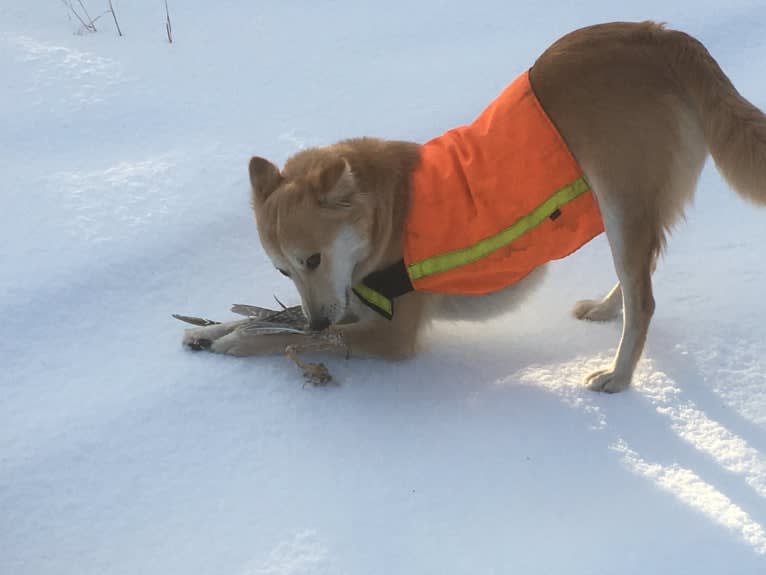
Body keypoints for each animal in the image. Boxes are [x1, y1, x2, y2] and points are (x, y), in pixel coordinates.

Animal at [186, 21, 766, 392]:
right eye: (282, 270)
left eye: (312, 259)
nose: (312, 324)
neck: (387, 207)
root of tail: (658, 35)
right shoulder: (346, 300)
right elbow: (276, 318)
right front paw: (211, 330)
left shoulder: (387, 333)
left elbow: (304, 336)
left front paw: (240, 343)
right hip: (624, 209)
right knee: (638, 280)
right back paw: (606, 310)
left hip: (622, 202)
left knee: (644, 302)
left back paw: (619, 376)